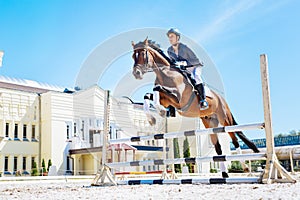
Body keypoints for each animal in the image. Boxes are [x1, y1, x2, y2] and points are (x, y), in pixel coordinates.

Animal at [130, 38, 258, 178]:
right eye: (133, 56)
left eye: (143, 54)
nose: (136, 73)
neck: (165, 73)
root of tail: (222, 99)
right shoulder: (166, 99)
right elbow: (148, 95)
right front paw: (153, 118)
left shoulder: (178, 100)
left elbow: (157, 89)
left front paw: (160, 111)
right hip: (209, 122)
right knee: (218, 147)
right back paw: (224, 174)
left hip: (225, 119)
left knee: (235, 140)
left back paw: (245, 167)